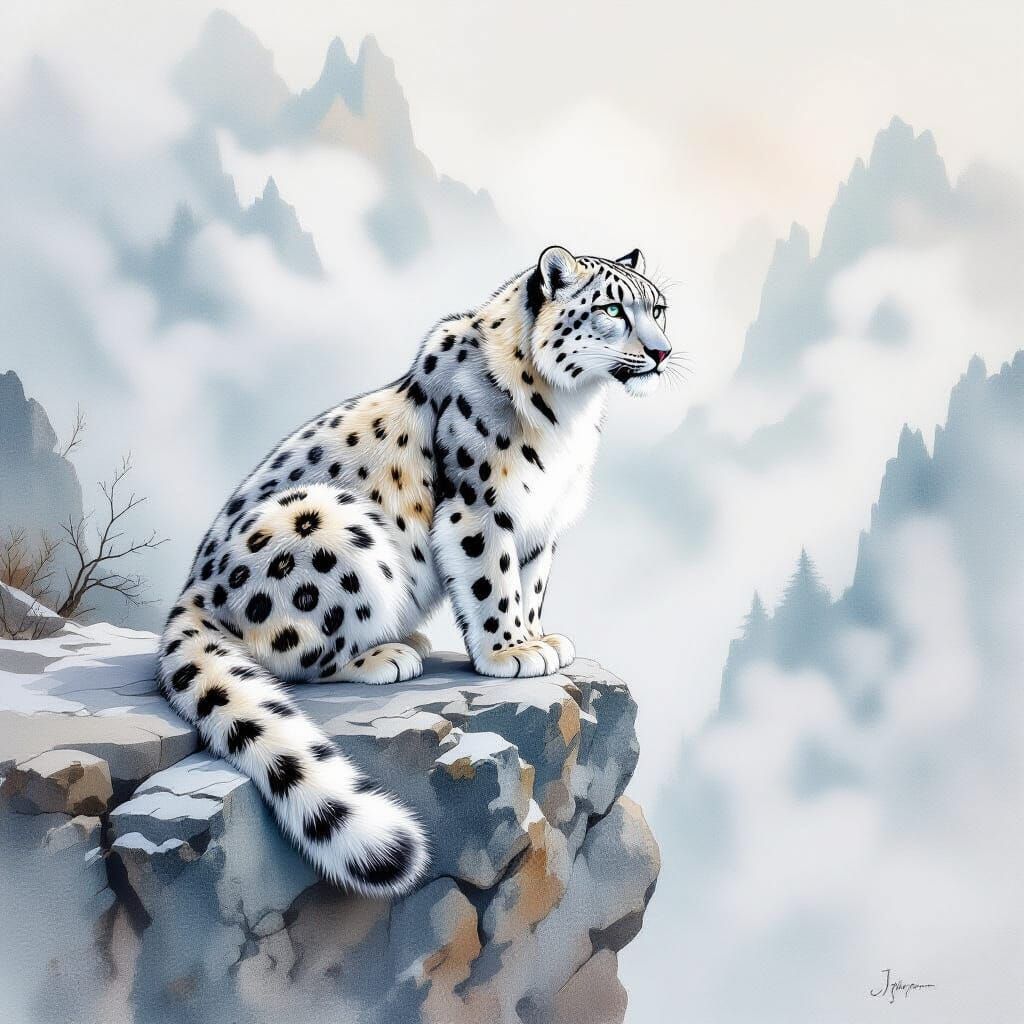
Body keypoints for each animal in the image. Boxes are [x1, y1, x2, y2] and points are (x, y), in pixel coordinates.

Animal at [158, 245, 674, 897]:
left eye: (658, 308)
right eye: (611, 309)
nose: (662, 352)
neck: (571, 413)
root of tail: (192, 589)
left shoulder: (542, 524)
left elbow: (529, 585)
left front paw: (540, 639)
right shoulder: (479, 508)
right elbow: (492, 583)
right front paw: (510, 652)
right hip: (326, 523)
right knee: (290, 657)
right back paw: (386, 655)